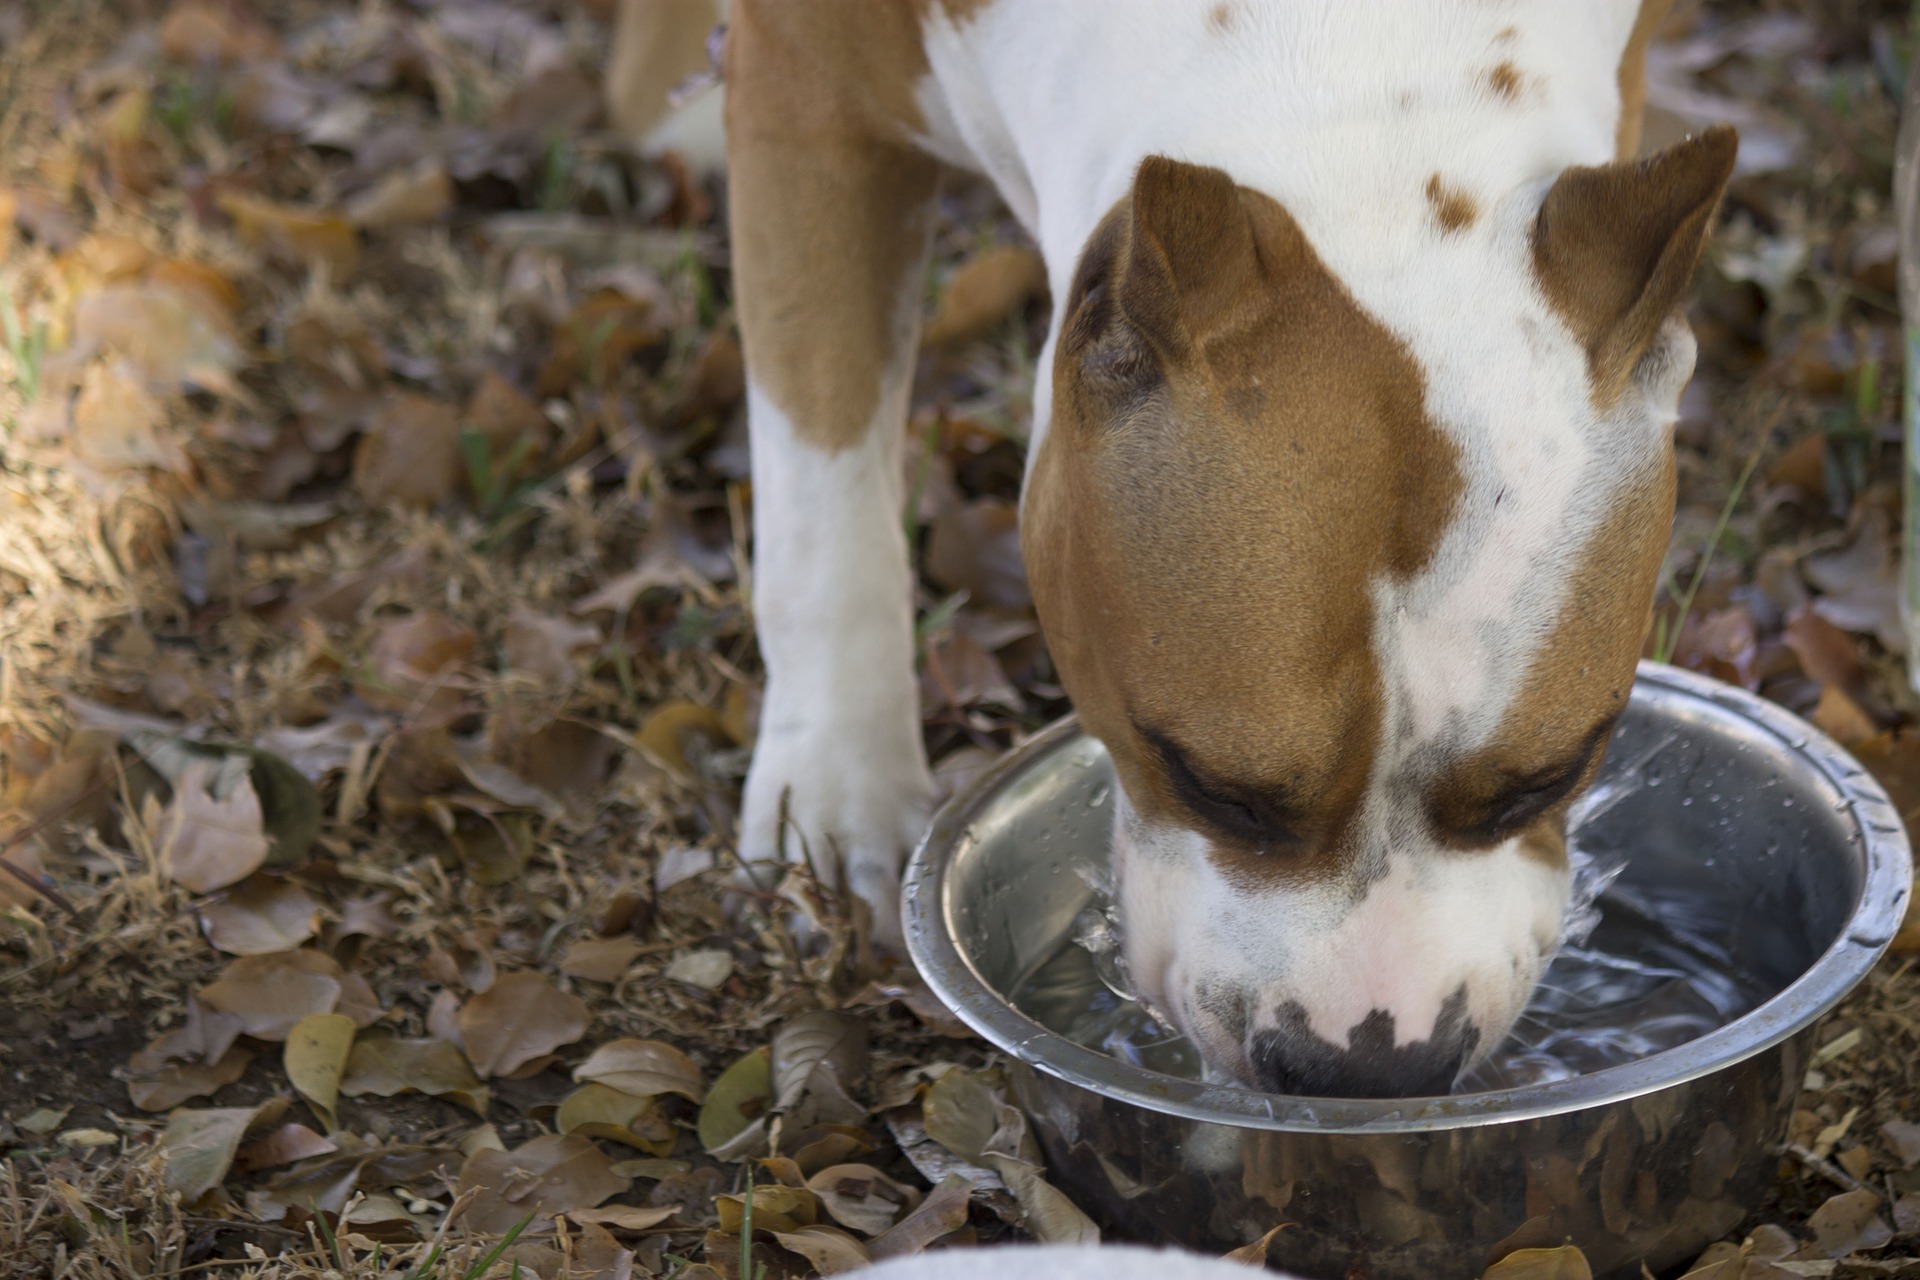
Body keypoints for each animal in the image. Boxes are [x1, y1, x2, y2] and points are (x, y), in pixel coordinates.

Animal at [614, 0, 1743, 1105]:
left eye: (1547, 780)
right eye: (1209, 785)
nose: (1371, 1067)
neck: (1353, 59)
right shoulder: (806, 101)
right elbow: (822, 490)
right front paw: (838, 790)